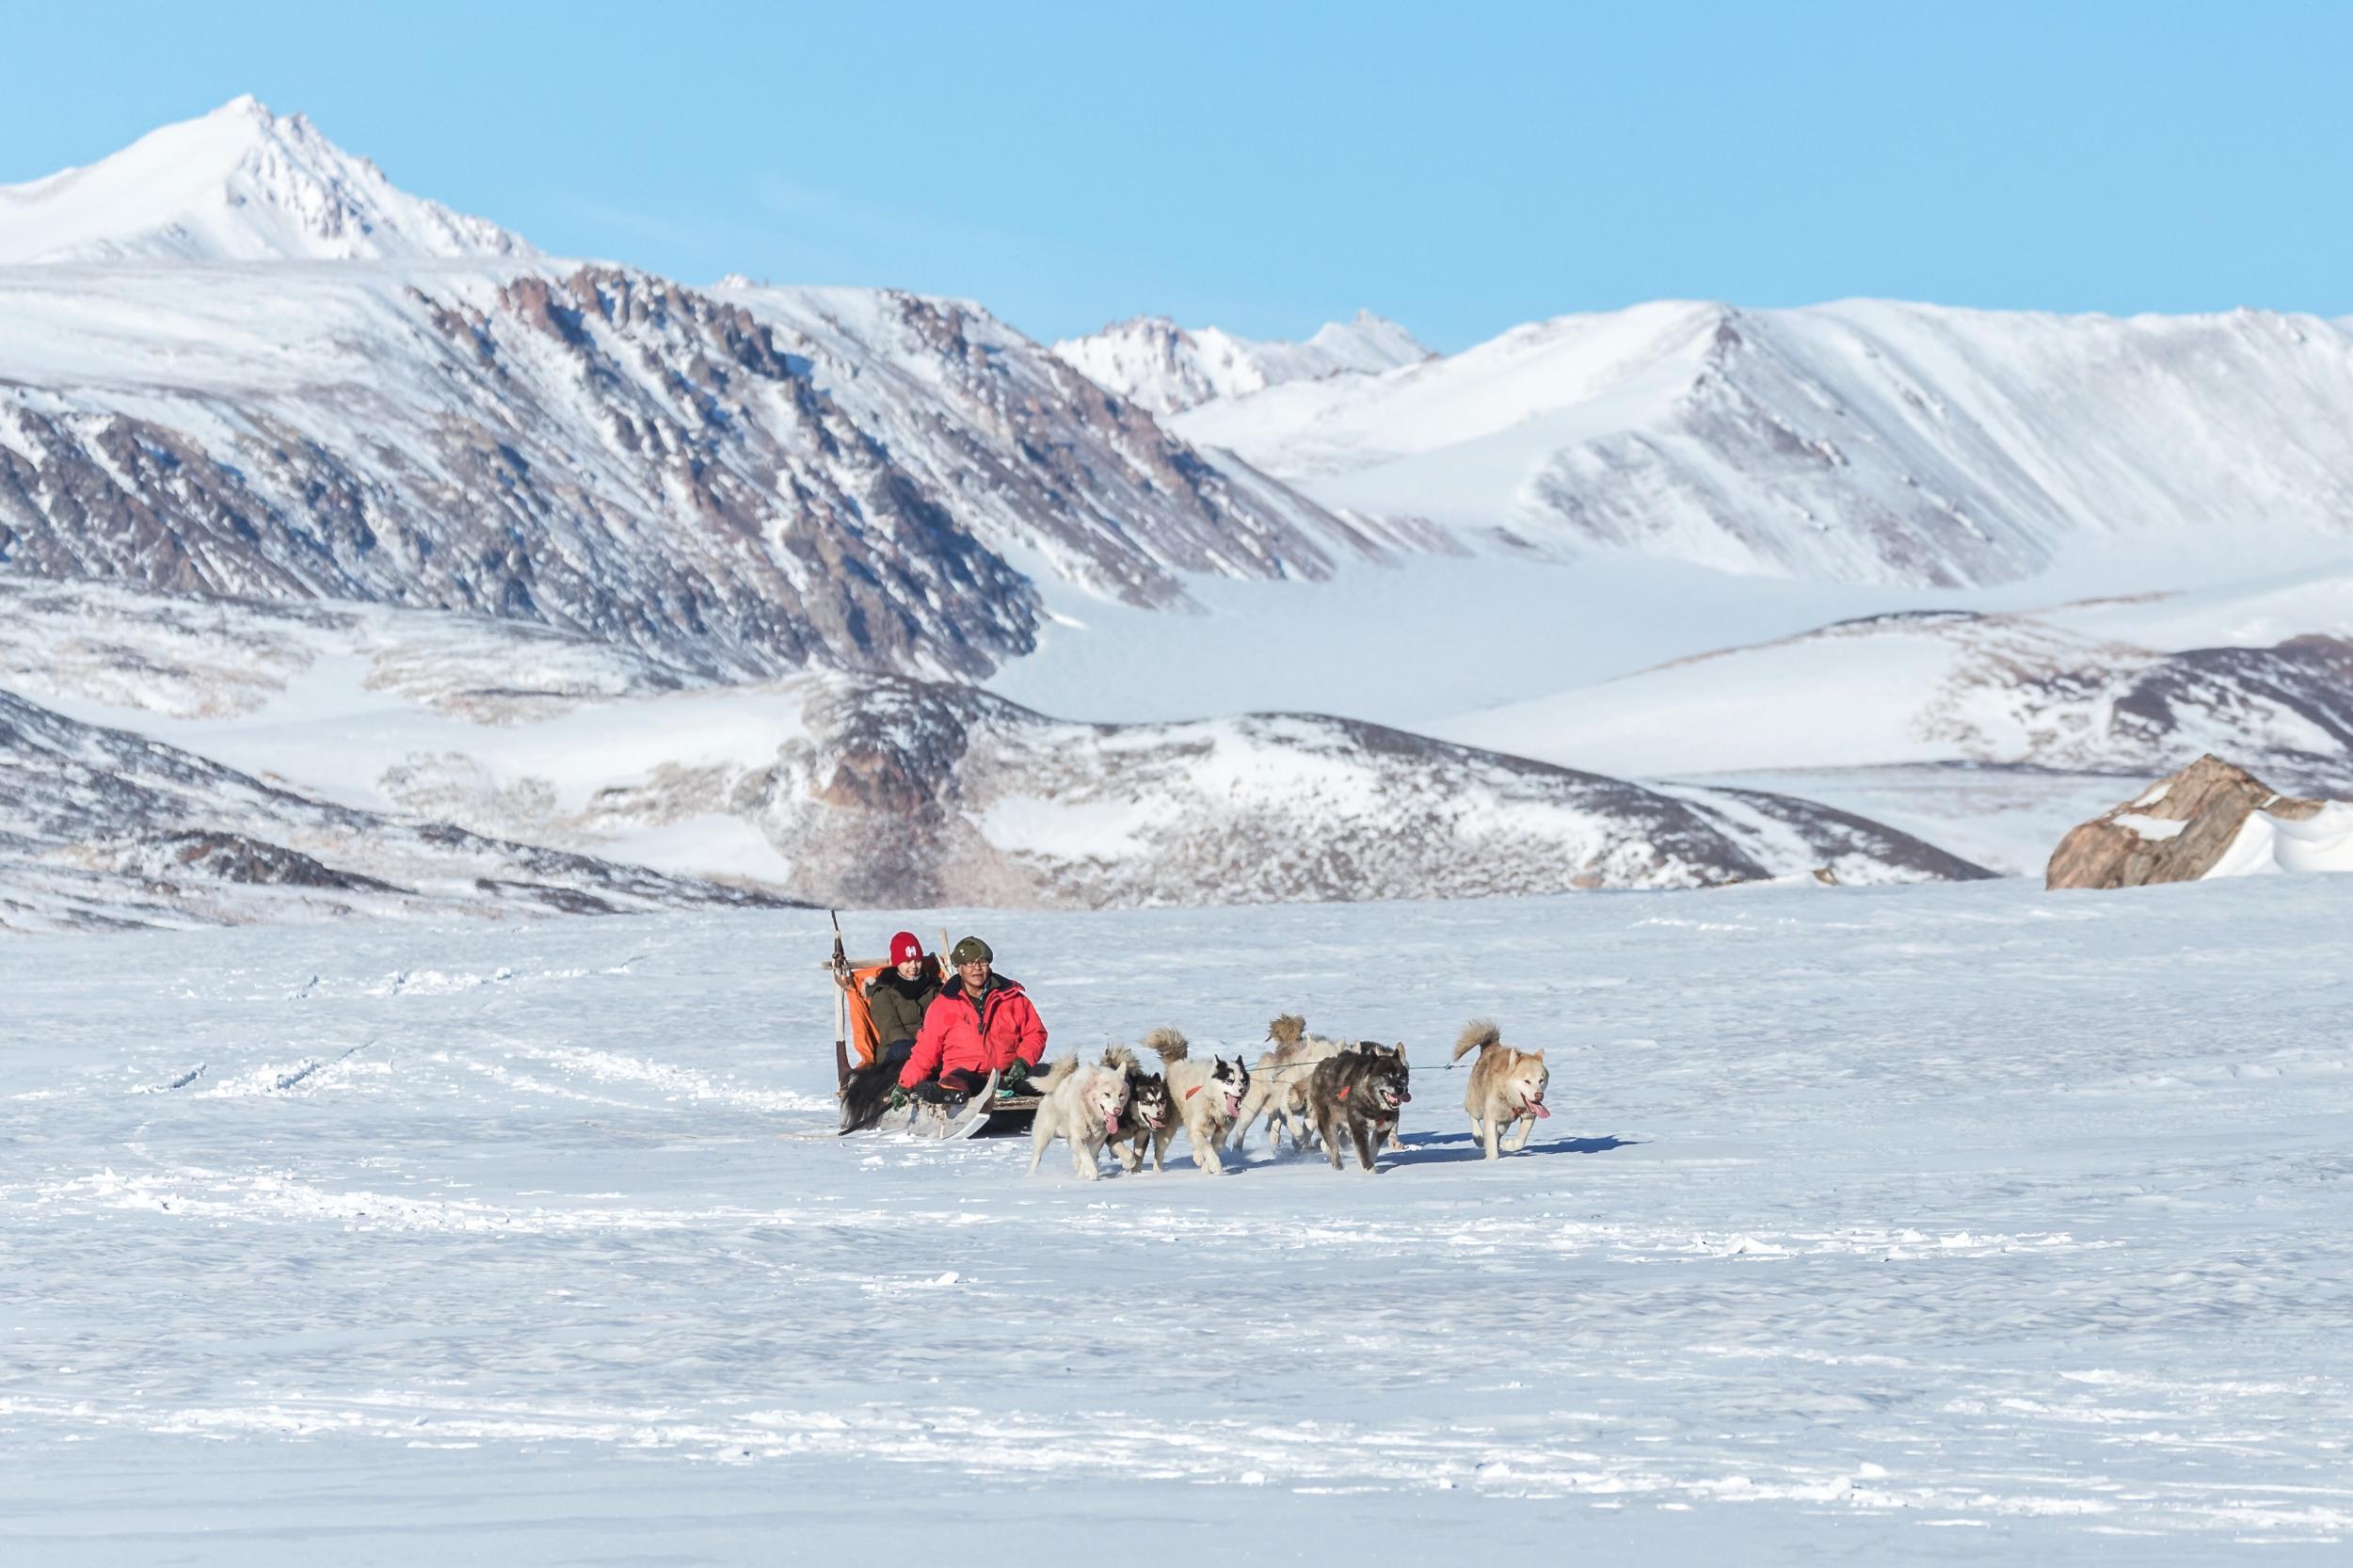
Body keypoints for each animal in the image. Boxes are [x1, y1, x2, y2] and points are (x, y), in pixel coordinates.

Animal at [1031, 1045, 1139, 1176]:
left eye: (1121, 1095)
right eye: (1106, 1094)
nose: (1117, 1110)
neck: (1090, 1111)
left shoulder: (1098, 1140)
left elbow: (1091, 1154)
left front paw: (1083, 1173)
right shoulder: (1078, 1138)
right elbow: (1086, 1155)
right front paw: (1091, 1171)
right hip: (1043, 1136)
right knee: (1037, 1156)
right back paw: (1030, 1176)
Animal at [1139, 1021, 1252, 1167]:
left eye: (1243, 1080)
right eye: (1229, 1080)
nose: (1242, 1090)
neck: (1214, 1103)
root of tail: (1176, 1063)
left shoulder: (1221, 1133)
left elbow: (1212, 1148)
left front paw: (1207, 1167)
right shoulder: (1198, 1128)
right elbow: (1207, 1147)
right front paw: (1215, 1165)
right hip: (1169, 1127)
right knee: (1160, 1151)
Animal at [1440, 1021, 1553, 1153]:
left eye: (1541, 1080)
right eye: (1526, 1081)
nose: (1539, 1095)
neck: (1510, 1098)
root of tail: (1491, 1047)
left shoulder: (1530, 1115)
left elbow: (1520, 1140)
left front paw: (1508, 1144)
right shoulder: (1490, 1116)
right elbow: (1491, 1143)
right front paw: (1492, 1156)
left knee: (1501, 1129)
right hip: (1477, 1104)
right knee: (1472, 1115)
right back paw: (1479, 1137)